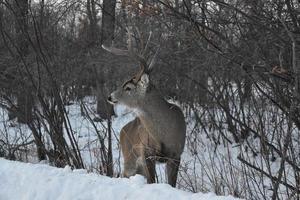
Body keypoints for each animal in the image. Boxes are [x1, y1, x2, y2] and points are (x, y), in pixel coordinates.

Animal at [104, 28, 186, 188]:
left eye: (128, 87)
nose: (110, 97)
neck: (164, 134)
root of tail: (123, 130)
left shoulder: (176, 154)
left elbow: (171, 183)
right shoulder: (147, 153)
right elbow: (152, 181)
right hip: (129, 156)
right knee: (123, 174)